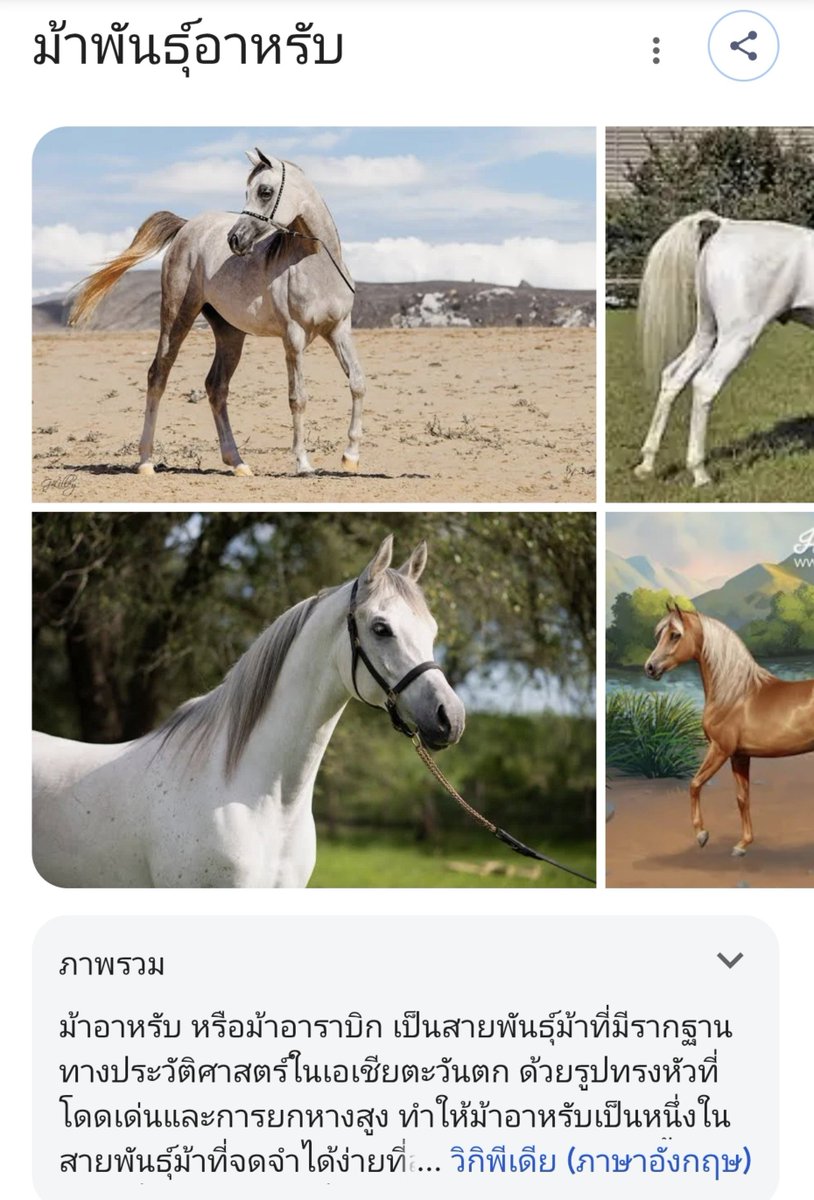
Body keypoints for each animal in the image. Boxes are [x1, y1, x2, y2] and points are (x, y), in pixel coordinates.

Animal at [69, 149, 365, 478]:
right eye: (248, 192)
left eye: (265, 191)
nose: (235, 239)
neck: (317, 267)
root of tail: (186, 227)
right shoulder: (294, 338)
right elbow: (297, 398)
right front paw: (303, 463)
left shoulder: (338, 330)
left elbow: (357, 383)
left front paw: (350, 457)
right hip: (177, 317)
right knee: (158, 375)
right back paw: (146, 462)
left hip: (230, 334)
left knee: (216, 386)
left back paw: (237, 462)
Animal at [633, 211, 814, 487]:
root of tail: (725, 224)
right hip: (737, 337)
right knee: (705, 384)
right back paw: (700, 474)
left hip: (707, 332)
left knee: (674, 377)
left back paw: (647, 464)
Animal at [644, 603, 814, 855]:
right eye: (660, 634)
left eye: (675, 635)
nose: (650, 667)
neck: (735, 694)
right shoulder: (739, 755)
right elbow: (742, 797)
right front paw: (742, 845)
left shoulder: (720, 750)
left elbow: (695, 784)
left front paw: (702, 835)